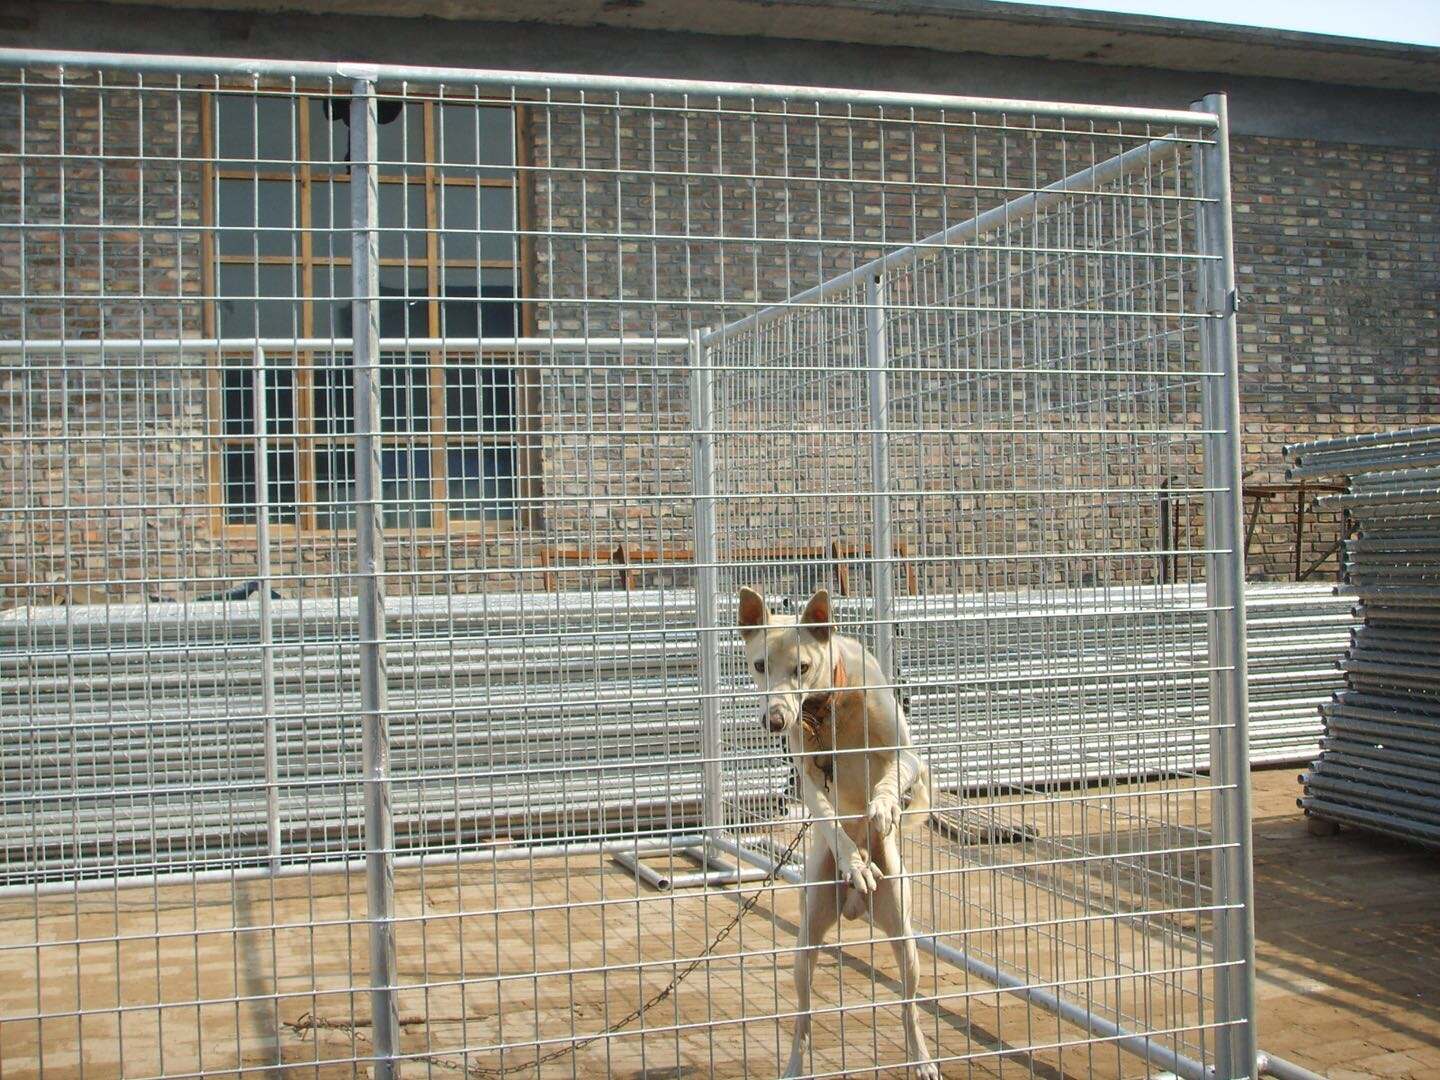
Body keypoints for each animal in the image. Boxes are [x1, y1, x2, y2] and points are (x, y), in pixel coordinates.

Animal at [737, 593, 938, 1080]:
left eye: (802, 667)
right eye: (759, 665)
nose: (774, 720)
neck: (828, 708)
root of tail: (854, 909)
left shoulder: (909, 755)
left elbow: (892, 779)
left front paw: (882, 807)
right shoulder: (808, 780)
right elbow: (829, 819)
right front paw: (854, 862)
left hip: (906, 940)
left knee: (909, 1007)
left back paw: (922, 1059)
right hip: (805, 944)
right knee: (803, 1018)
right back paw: (794, 1066)